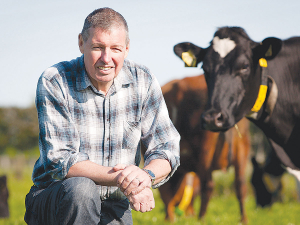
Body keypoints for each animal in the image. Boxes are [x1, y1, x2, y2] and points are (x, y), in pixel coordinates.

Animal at [157, 74, 251, 223]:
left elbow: (165, 190)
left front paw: (170, 218)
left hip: (206, 146)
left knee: (207, 184)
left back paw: (200, 218)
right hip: (242, 145)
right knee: (240, 184)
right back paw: (243, 220)